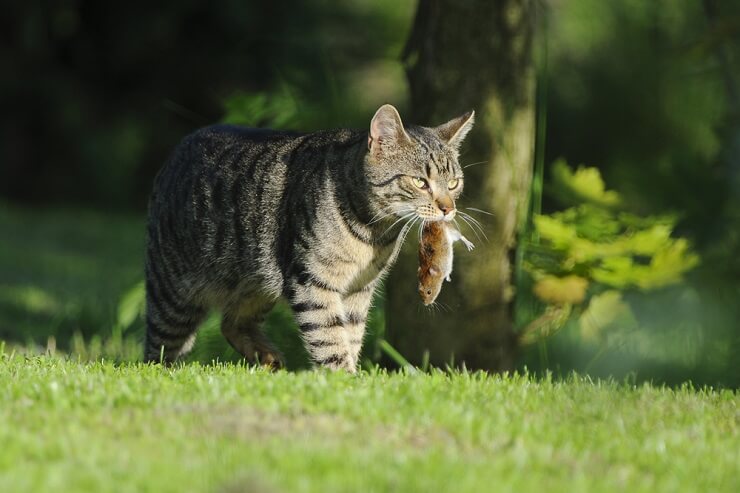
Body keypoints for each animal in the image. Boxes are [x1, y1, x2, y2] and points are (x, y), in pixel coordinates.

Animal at [145, 104, 474, 372]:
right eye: (419, 182)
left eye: (454, 183)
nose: (448, 208)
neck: (373, 233)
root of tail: (178, 148)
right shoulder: (312, 280)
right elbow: (328, 336)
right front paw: (343, 379)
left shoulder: (359, 288)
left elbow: (351, 335)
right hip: (173, 297)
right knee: (157, 349)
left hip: (256, 284)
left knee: (231, 322)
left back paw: (267, 357)